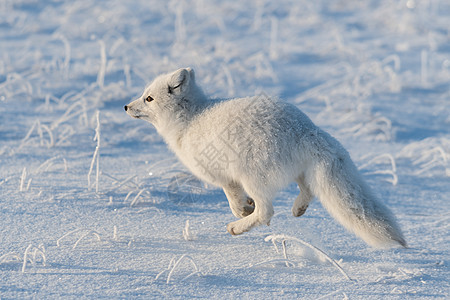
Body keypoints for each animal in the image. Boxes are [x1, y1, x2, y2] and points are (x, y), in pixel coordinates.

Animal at [125, 68, 406, 248]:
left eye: (148, 98)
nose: (126, 106)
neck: (192, 118)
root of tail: (306, 129)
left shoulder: (223, 175)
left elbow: (232, 197)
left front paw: (241, 211)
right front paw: (245, 207)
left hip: (253, 175)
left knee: (266, 213)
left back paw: (236, 227)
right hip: (300, 171)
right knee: (307, 191)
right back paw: (298, 209)